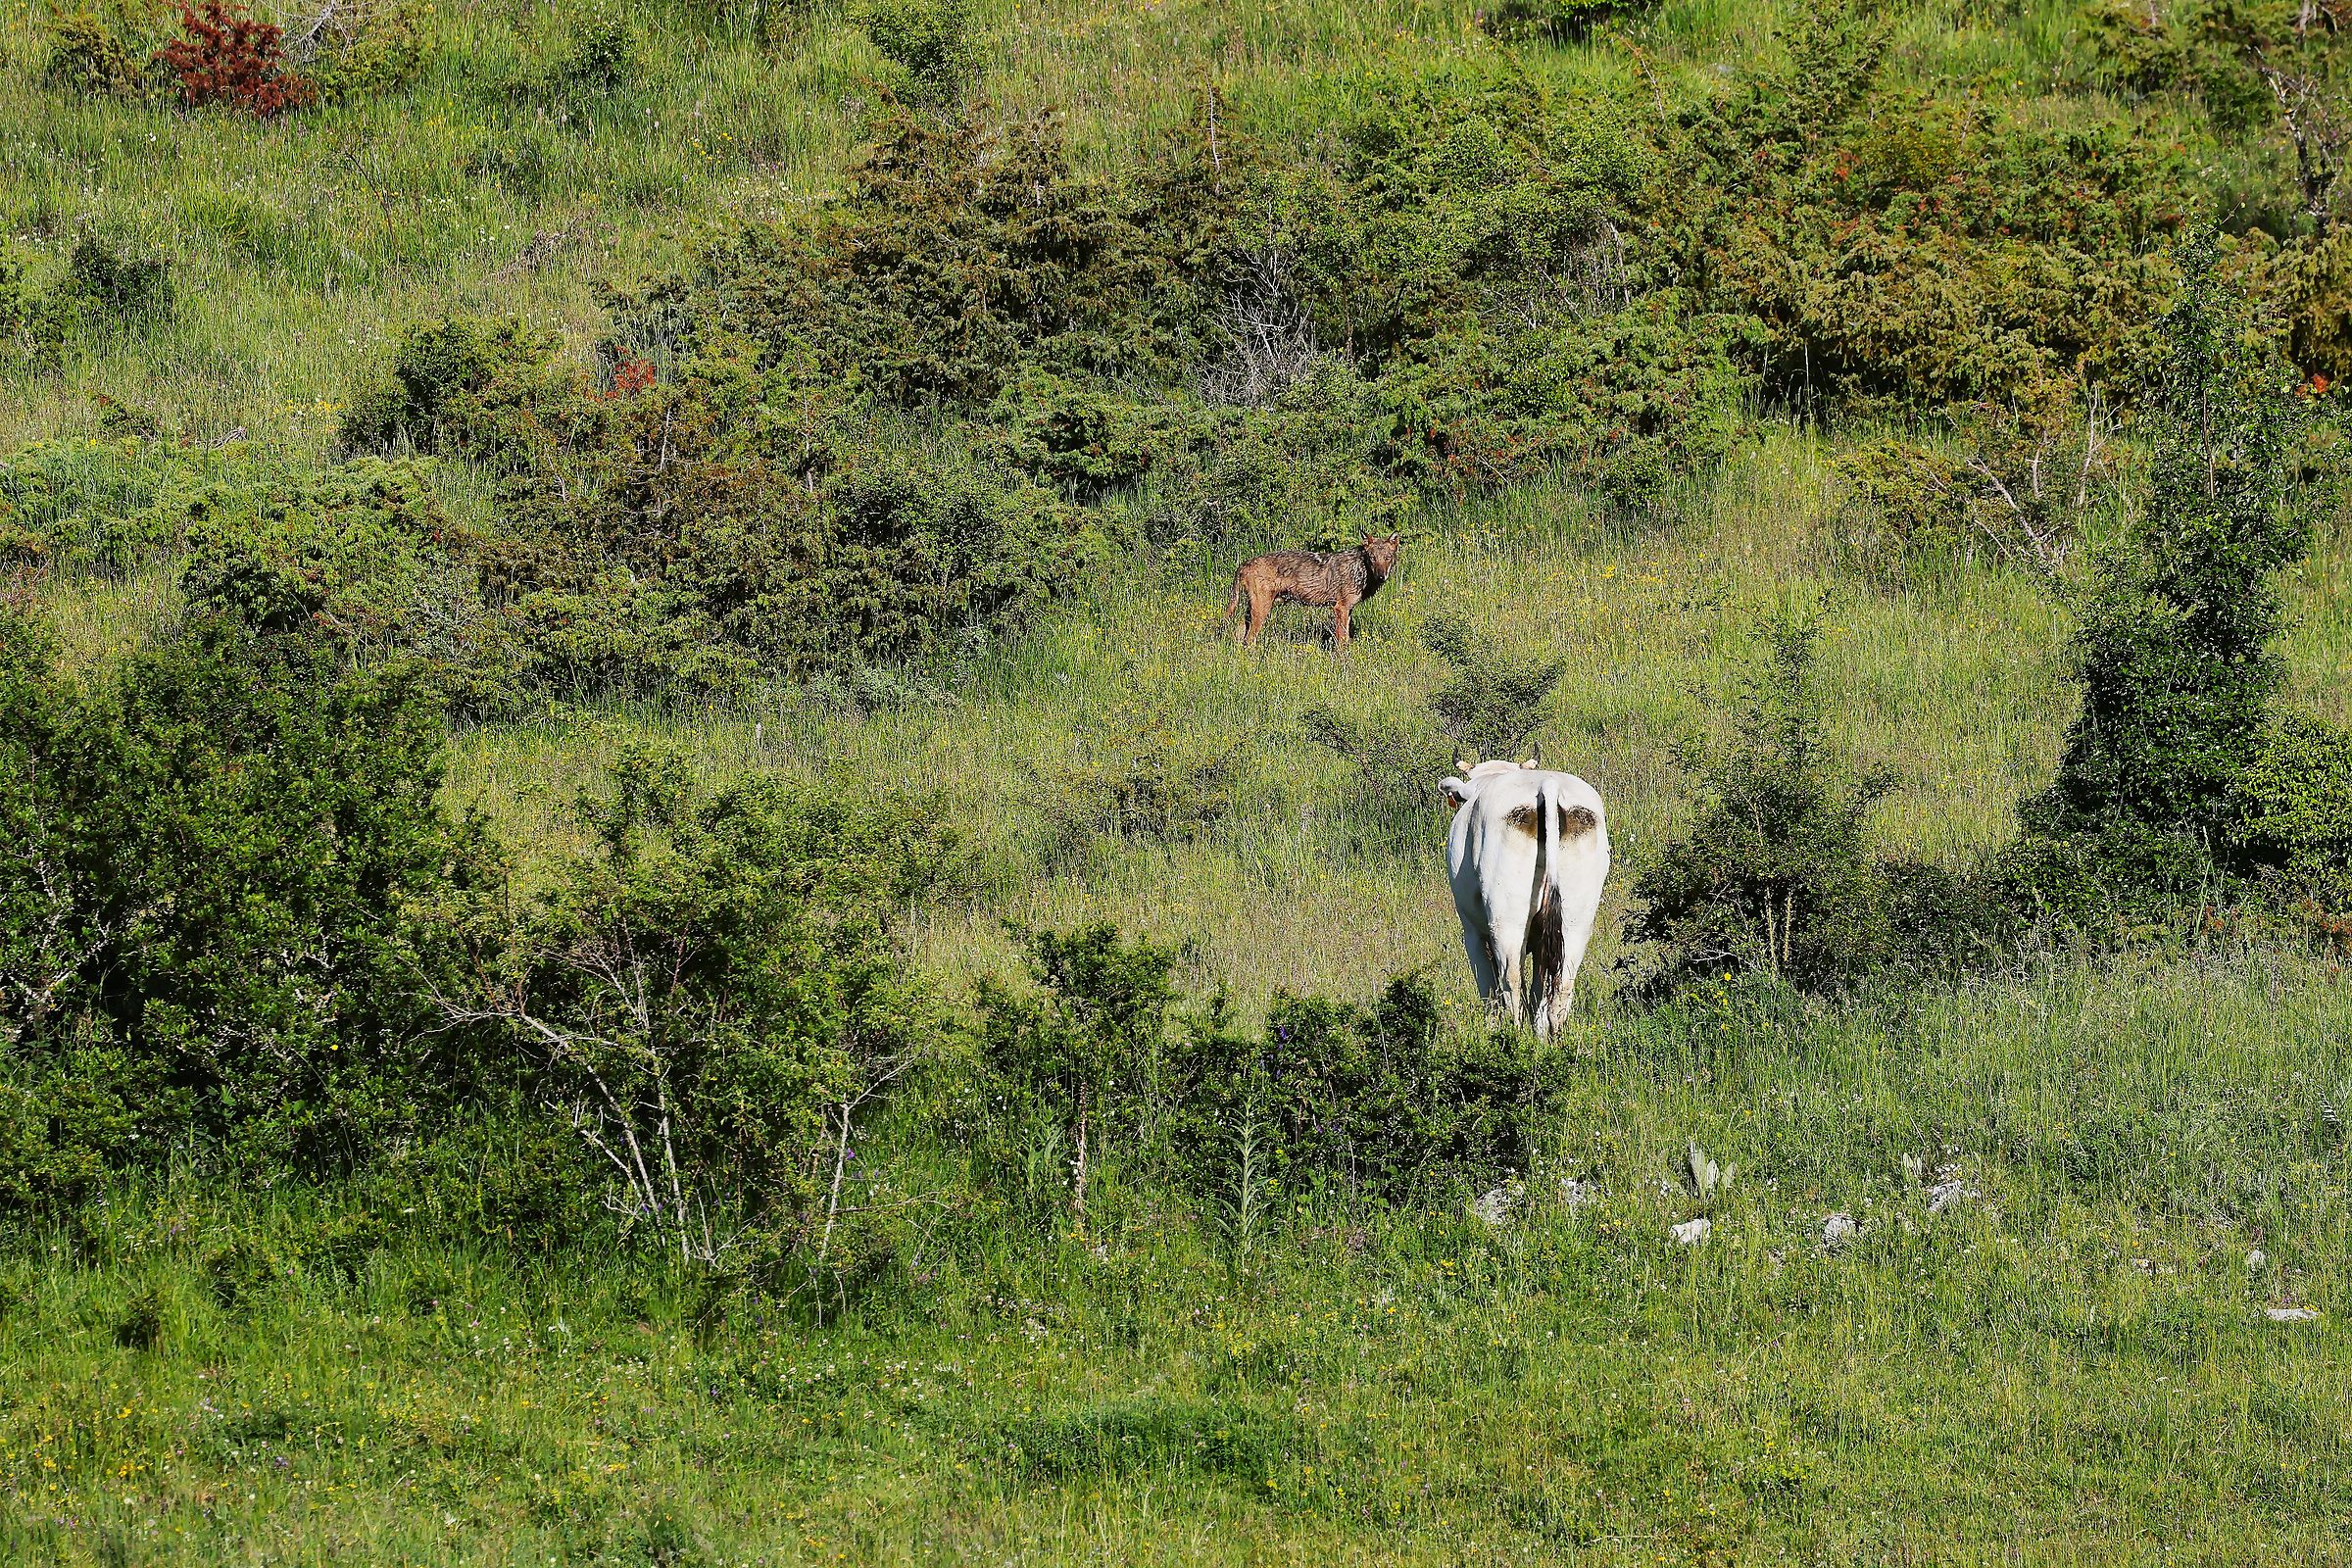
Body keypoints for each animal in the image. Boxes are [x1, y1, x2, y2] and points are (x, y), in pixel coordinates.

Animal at [1438, 754, 1610, 1039]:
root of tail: (1548, 784)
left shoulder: (1471, 932)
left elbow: (1488, 987)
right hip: (1576, 921)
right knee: (1561, 986)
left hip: (1506, 921)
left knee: (1512, 981)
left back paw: (1514, 1035)